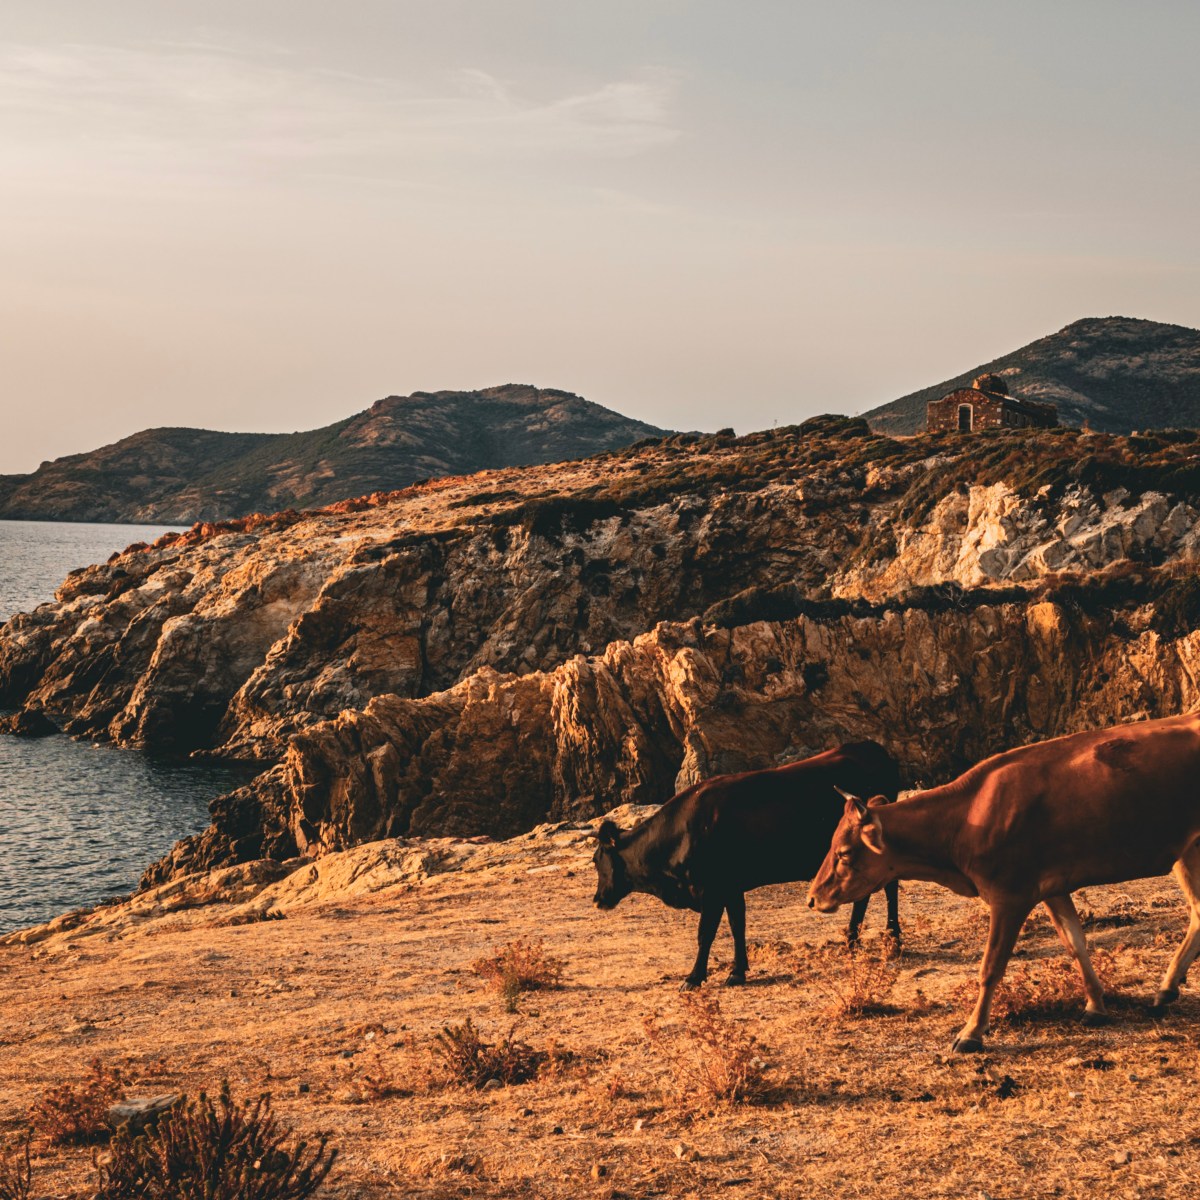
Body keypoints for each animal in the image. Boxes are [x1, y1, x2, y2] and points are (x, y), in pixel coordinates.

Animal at [592, 741, 902, 989]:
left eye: (597, 860)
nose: (597, 899)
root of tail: (872, 748)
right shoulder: (731, 888)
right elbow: (737, 926)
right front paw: (738, 971)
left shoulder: (712, 890)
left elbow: (705, 933)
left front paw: (694, 977)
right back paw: (853, 940)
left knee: (890, 888)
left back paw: (893, 939)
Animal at [807, 712, 1200, 1053]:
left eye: (844, 853)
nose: (812, 897)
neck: (968, 816)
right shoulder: (1053, 889)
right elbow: (1076, 945)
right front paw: (1095, 1005)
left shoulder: (1010, 896)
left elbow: (991, 967)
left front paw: (971, 1032)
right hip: (1188, 852)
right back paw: (1165, 991)